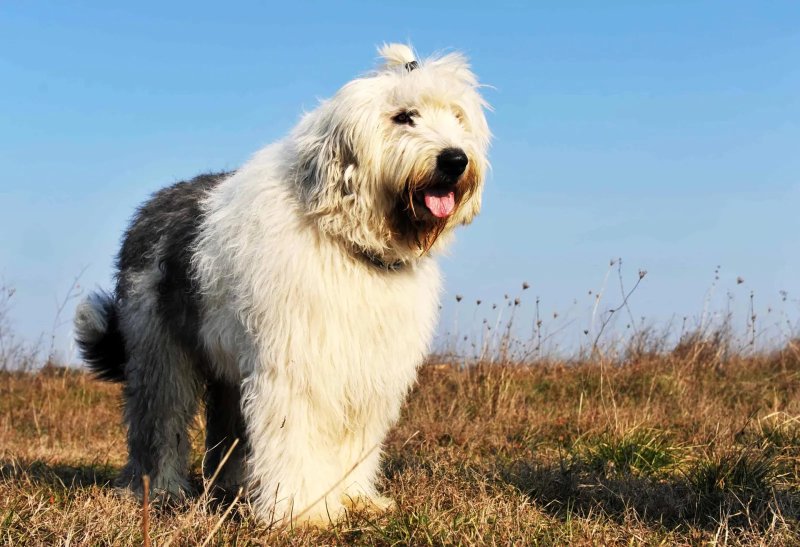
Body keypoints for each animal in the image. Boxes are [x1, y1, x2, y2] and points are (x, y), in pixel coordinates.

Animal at [75, 44, 490, 528]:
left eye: (457, 116)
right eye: (404, 116)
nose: (455, 160)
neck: (346, 240)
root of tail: (151, 205)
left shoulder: (367, 370)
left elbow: (353, 439)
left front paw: (353, 497)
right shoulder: (298, 363)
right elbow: (295, 434)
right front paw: (303, 510)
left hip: (228, 366)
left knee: (227, 429)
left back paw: (232, 487)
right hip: (159, 351)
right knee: (160, 419)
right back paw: (160, 489)